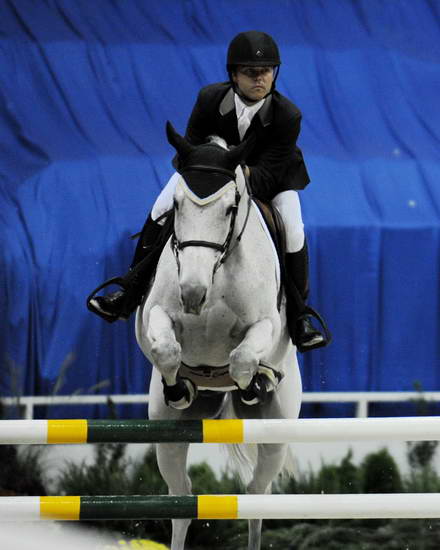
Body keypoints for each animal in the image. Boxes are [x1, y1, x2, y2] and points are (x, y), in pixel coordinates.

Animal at [136, 124, 304, 550]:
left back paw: (258, 388)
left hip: (276, 434)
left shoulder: (265, 325)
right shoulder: (155, 314)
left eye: (229, 208)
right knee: (181, 500)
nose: (193, 293)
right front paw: (179, 386)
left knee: (258, 496)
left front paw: (253, 384)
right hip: (167, 438)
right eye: (177, 206)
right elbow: (166, 349)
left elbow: (243, 358)